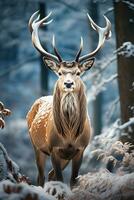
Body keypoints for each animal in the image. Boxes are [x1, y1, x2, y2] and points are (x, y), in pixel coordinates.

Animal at [26, 10, 111, 187]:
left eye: (78, 73)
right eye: (59, 73)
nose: (68, 83)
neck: (70, 135)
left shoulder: (80, 149)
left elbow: (73, 181)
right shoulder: (53, 148)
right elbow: (60, 179)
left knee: (50, 175)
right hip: (36, 145)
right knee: (41, 177)